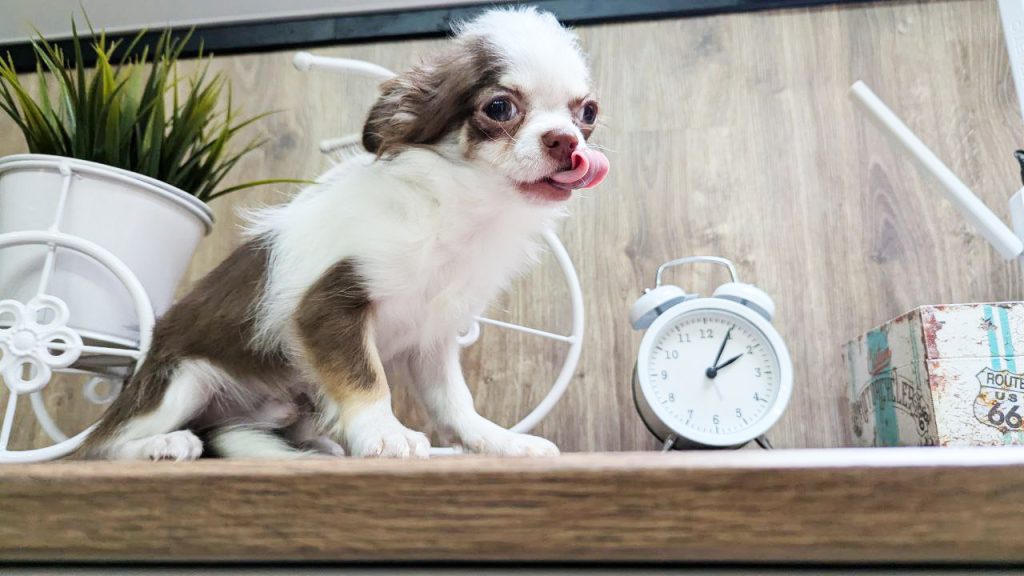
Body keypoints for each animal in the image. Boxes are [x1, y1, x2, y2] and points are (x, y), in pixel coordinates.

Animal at [78, 7, 609, 460]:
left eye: (587, 113)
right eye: (499, 108)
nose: (566, 141)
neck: (456, 212)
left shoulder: (433, 340)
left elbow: (454, 402)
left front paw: (497, 440)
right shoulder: (329, 306)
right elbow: (367, 380)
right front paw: (386, 434)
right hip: (182, 379)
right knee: (101, 446)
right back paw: (162, 444)